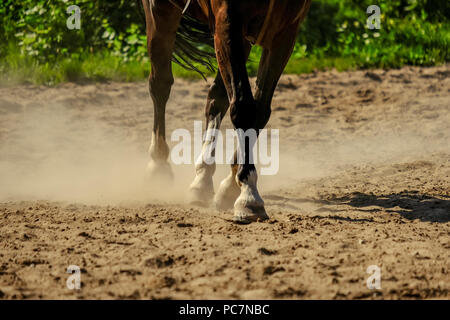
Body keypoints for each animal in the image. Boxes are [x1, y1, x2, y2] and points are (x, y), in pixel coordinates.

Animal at [142, 0, 312, 222]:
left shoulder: (285, 31)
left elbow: (259, 111)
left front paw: (232, 186)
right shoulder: (228, 22)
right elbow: (243, 107)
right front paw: (249, 196)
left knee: (216, 97)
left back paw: (202, 180)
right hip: (159, 10)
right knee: (160, 84)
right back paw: (159, 164)